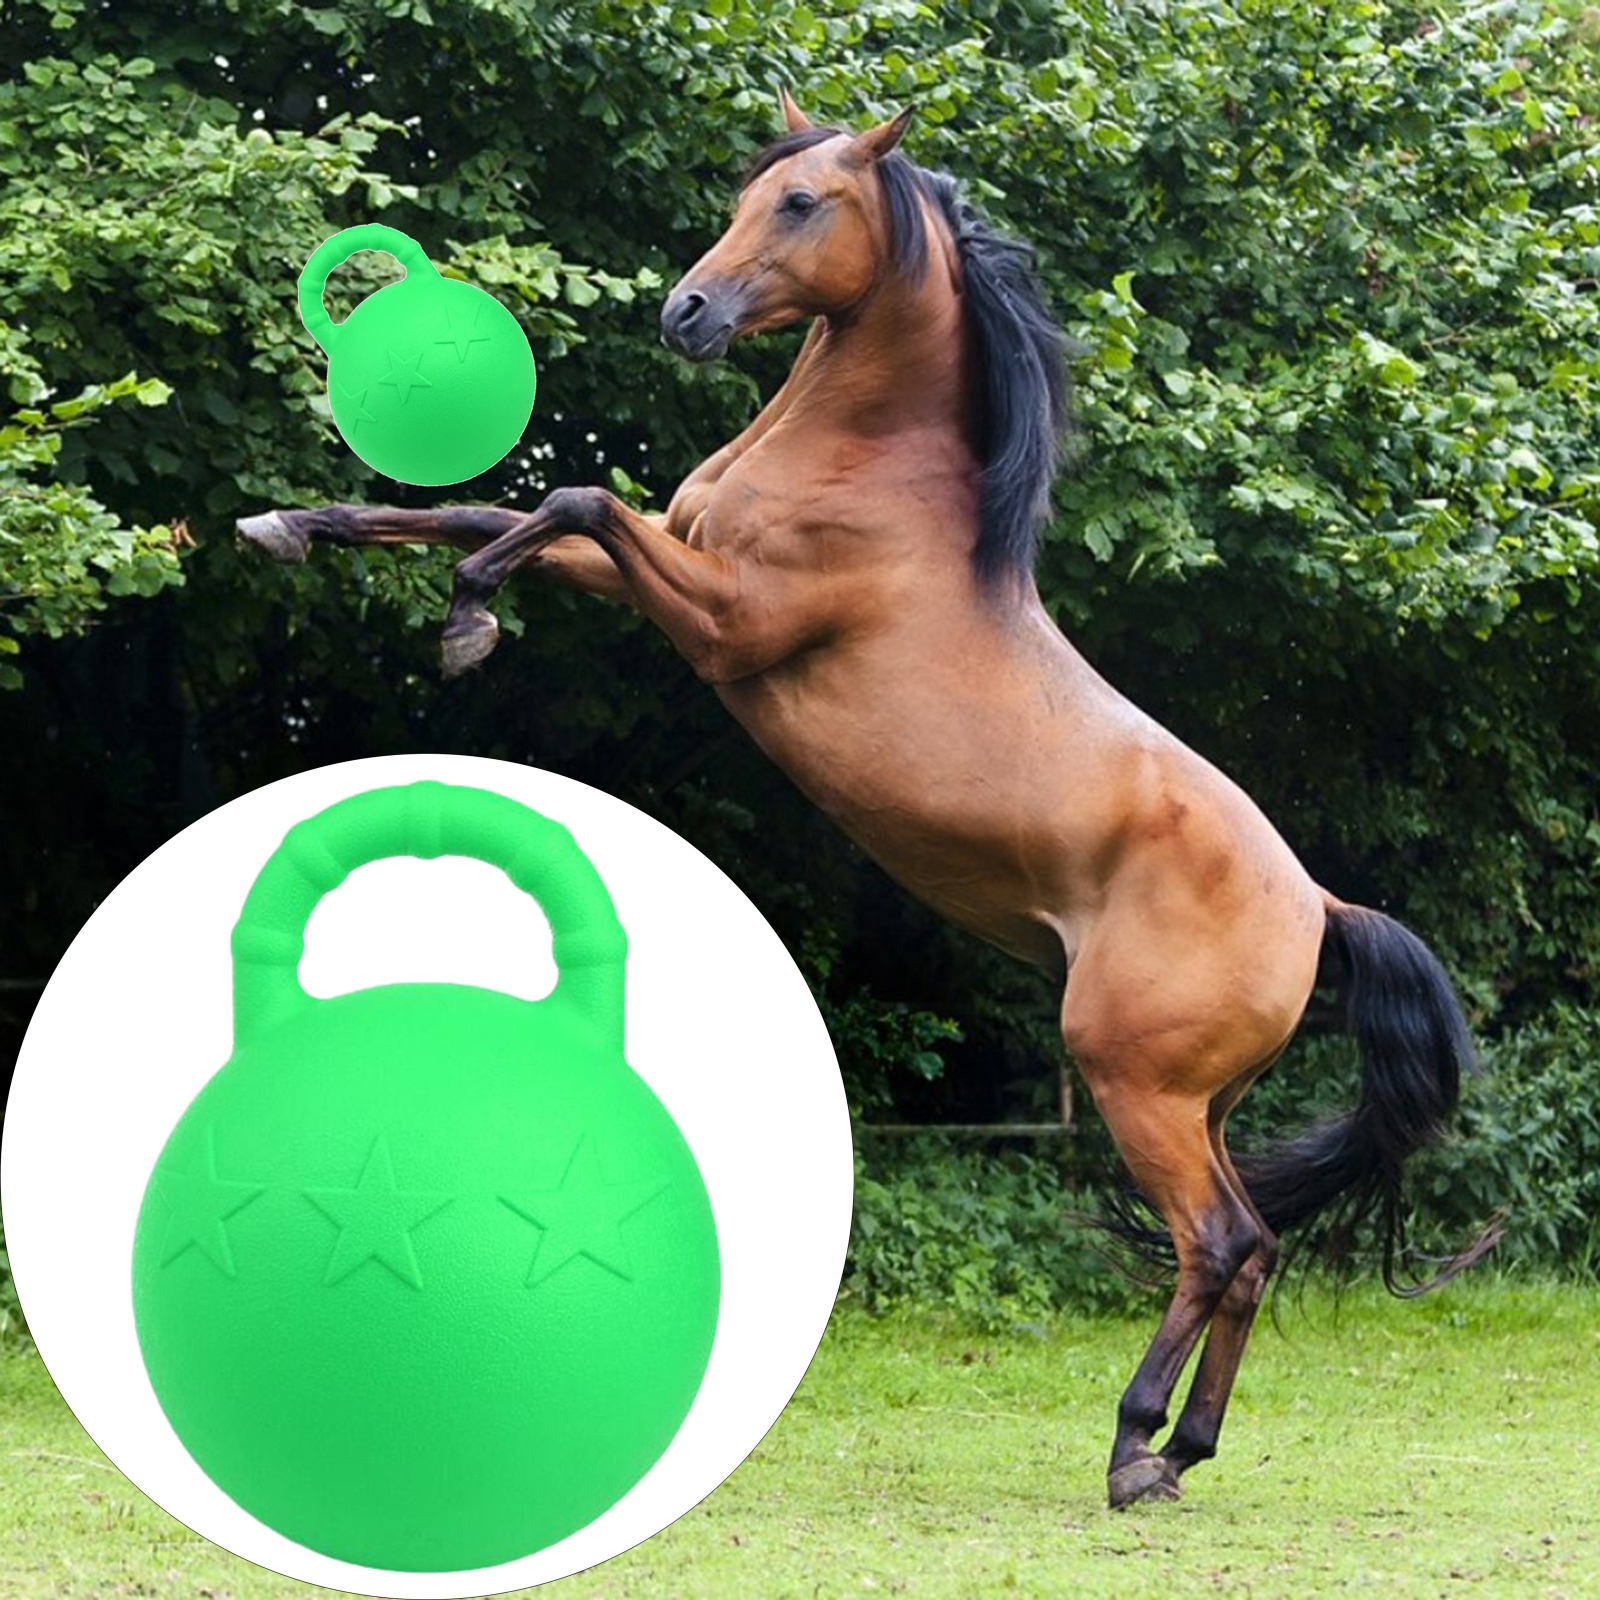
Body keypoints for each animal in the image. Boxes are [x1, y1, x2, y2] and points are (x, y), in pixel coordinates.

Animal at [238, 89, 1496, 1509]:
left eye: (799, 204)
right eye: (746, 195)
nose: (685, 312)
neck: (866, 473)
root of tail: (1319, 906)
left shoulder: (723, 623)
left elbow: (568, 496)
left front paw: (466, 623)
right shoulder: (658, 572)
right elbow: (480, 509)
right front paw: (292, 527)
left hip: (1134, 1082)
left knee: (1219, 1241)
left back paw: (1131, 1447)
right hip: (1198, 1101)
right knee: (1250, 1250)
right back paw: (1183, 1451)